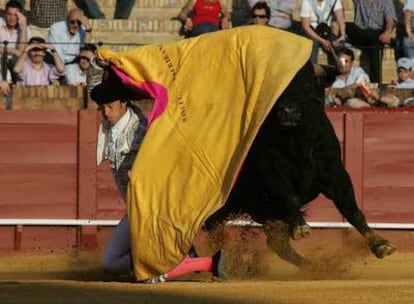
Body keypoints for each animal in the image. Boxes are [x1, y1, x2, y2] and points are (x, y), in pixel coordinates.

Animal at [205, 60, 396, 268]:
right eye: (279, 87)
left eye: (308, 84)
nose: (289, 112)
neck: (299, 143)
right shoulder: (270, 169)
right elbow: (290, 196)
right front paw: (301, 226)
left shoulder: (336, 173)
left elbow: (352, 210)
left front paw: (381, 244)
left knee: (276, 243)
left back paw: (312, 266)